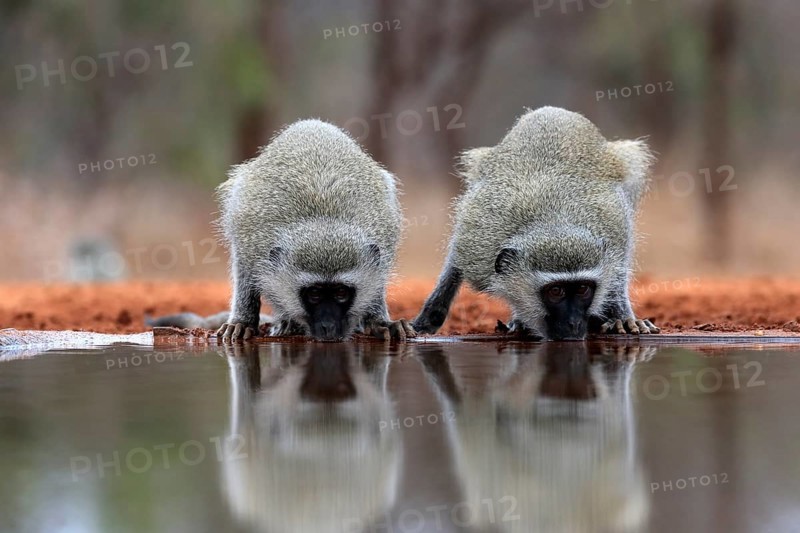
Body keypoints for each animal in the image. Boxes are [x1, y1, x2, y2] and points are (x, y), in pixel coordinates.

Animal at [215, 119, 415, 342]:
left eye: (341, 293)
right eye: (314, 294)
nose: (328, 327)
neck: (323, 220)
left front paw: (378, 322)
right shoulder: (250, 244)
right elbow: (245, 272)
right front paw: (243, 321)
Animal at [412, 106, 660, 340]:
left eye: (582, 289)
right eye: (556, 291)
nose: (573, 324)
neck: (553, 220)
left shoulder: (616, 227)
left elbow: (618, 269)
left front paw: (621, 317)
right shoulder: (476, 244)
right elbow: (455, 261)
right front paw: (431, 313)